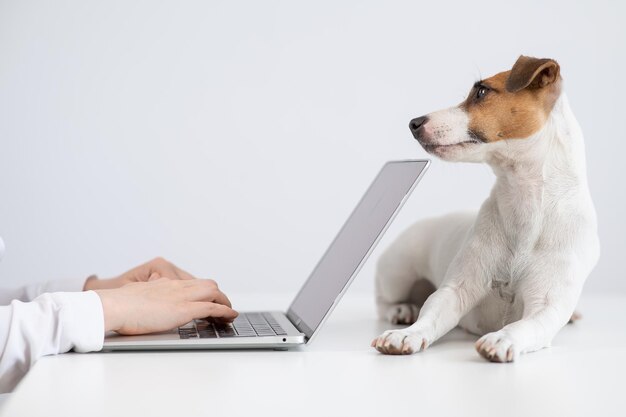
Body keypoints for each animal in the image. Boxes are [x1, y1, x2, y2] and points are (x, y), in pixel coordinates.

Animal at [368, 54, 596, 360]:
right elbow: (430, 315)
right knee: (384, 300)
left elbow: (524, 325)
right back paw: (402, 310)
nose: (413, 123)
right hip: (398, 272)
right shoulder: (456, 290)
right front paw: (408, 334)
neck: (523, 202)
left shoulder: (547, 307)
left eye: (482, 91)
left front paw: (502, 338)